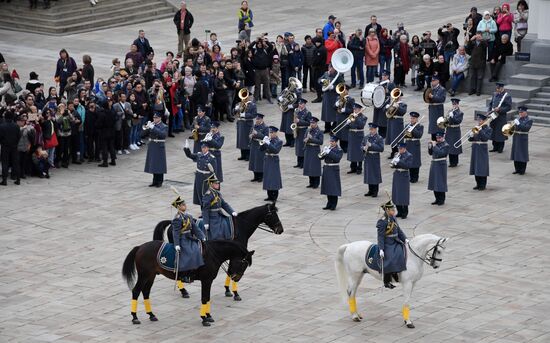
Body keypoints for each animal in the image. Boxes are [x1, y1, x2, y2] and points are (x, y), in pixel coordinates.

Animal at [123, 241, 254, 326]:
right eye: (244, 263)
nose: (236, 278)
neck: (212, 254)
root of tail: (140, 247)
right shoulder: (206, 280)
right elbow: (204, 298)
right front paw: (204, 318)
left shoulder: (208, 281)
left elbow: (207, 298)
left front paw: (208, 316)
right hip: (144, 275)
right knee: (136, 291)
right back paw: (135, 317)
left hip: (151, 276)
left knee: (146, 292)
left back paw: (151, 315)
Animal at [154, 204, 284, 300]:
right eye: (273, 214)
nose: (281, 230)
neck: (241, 226)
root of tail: (172, 222)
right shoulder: (235, 255)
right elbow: (231, 270)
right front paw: (234, 292)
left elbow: (230, 271)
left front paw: (228, 290)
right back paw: (183, 290)